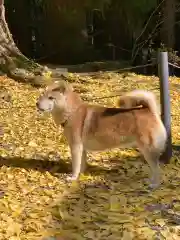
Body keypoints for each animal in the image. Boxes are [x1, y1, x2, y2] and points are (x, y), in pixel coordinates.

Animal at [36, 79, 167, 188]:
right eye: (42, 95)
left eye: (51, 98)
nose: (37, 104)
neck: (72, 112)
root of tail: (149, 110)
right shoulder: (82, 148)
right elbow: (81, 164)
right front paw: (81, 175)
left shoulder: (75, 147)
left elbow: (75, 165)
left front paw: (73, 177)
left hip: (148, 150)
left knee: (157, 169)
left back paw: (154, 185)